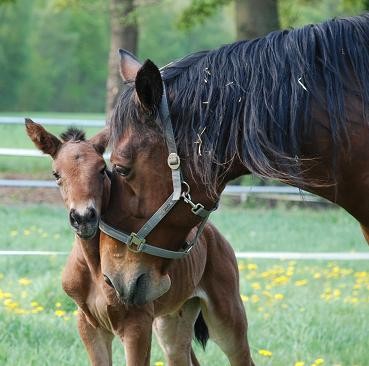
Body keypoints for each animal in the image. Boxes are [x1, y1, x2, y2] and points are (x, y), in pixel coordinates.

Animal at [25, 118, 254, 366]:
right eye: (56, 174)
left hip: (227, 318)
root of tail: (213, 234)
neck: (95, 269)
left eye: (102, 169)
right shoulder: (89, 326)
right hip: (172, 322)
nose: (84, 217)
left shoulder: (137, 325)